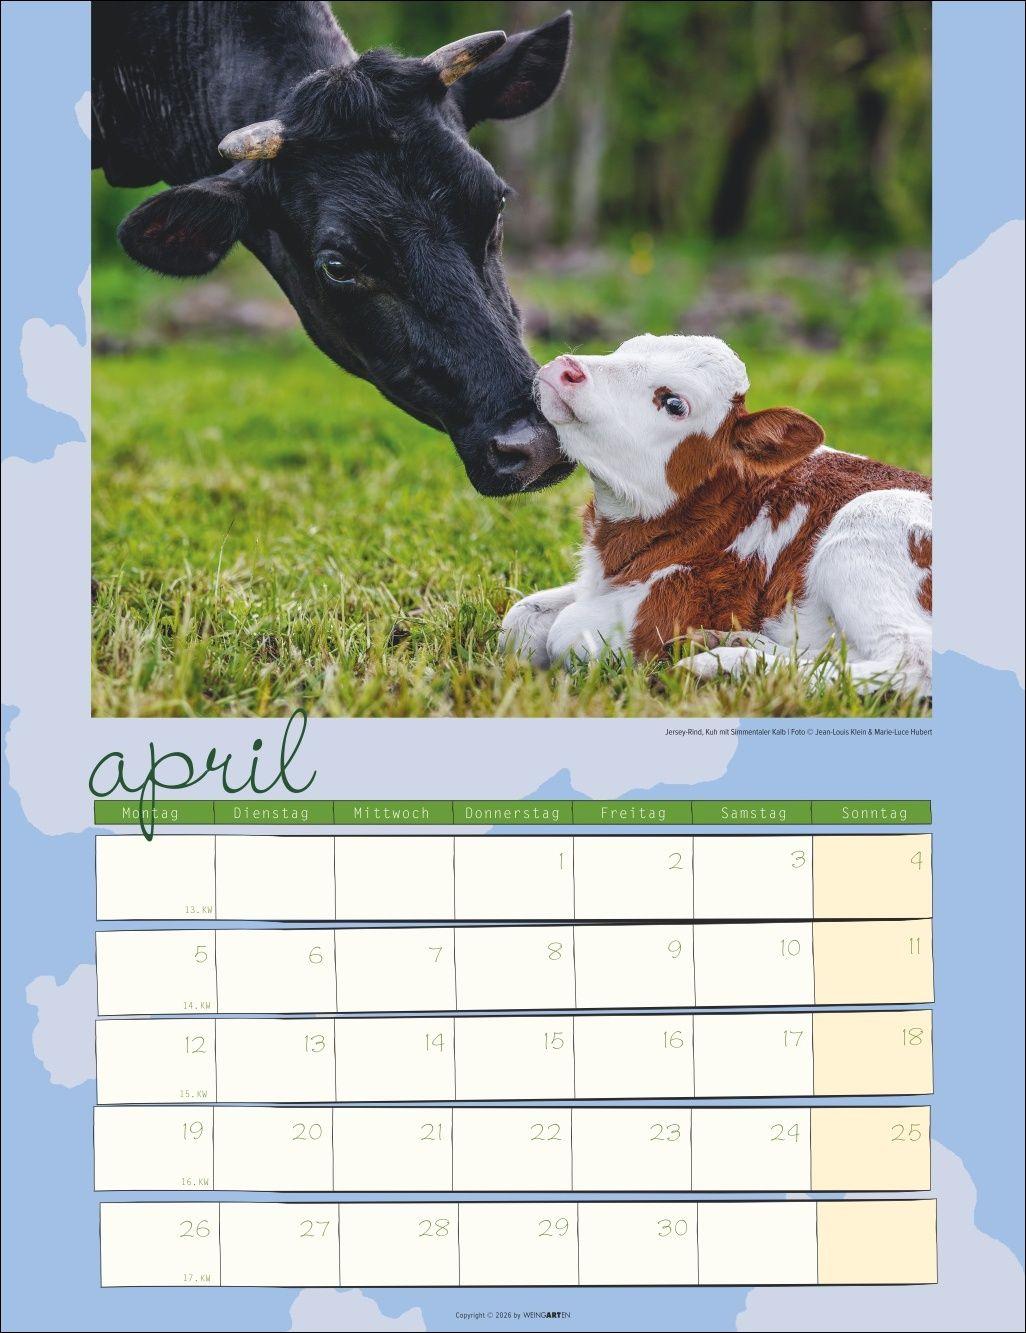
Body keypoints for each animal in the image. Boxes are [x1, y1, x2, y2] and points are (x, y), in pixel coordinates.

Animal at [500, 335, 933, 695]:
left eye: (674, 403)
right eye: (624, 348)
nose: (567, 367)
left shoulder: (682, 596)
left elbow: (566, 630)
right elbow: (520, 619)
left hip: (867, 529)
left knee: (912, 659)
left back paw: (717, 666)